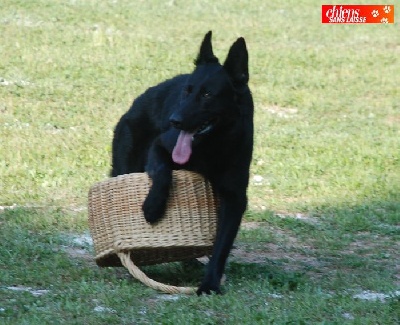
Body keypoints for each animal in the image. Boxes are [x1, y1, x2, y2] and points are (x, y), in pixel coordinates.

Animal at [110, 31, 253, 294]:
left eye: (207, 94)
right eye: (187, 91)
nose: (174, 121)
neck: (212, 146)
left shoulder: (235, 199)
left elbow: (222, 246)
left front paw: (210, 283)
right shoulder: (160, 147)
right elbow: (163, 173)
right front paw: (153, 206)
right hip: (123, 169)